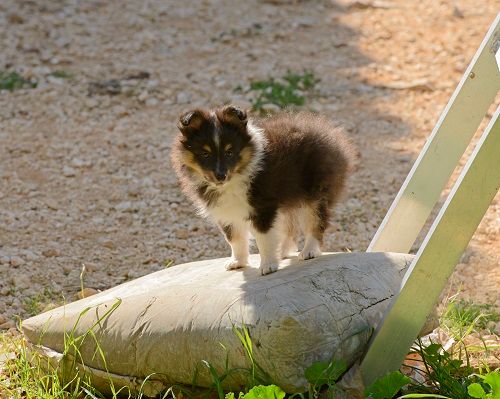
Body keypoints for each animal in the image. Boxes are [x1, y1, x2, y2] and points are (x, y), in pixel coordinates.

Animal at [170, 104, 354, 276]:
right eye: (205, 154)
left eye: (229, 152)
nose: (221, 176)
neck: (236, 177)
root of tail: (328, 132)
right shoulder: (227, 212)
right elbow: (235, 239)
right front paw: (238, 262)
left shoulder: (263, 206)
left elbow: (264, 239)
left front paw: (268, 266)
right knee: (290, 227)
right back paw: (282, 251)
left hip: (315, 193)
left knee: (316, 222)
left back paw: (309, 251)